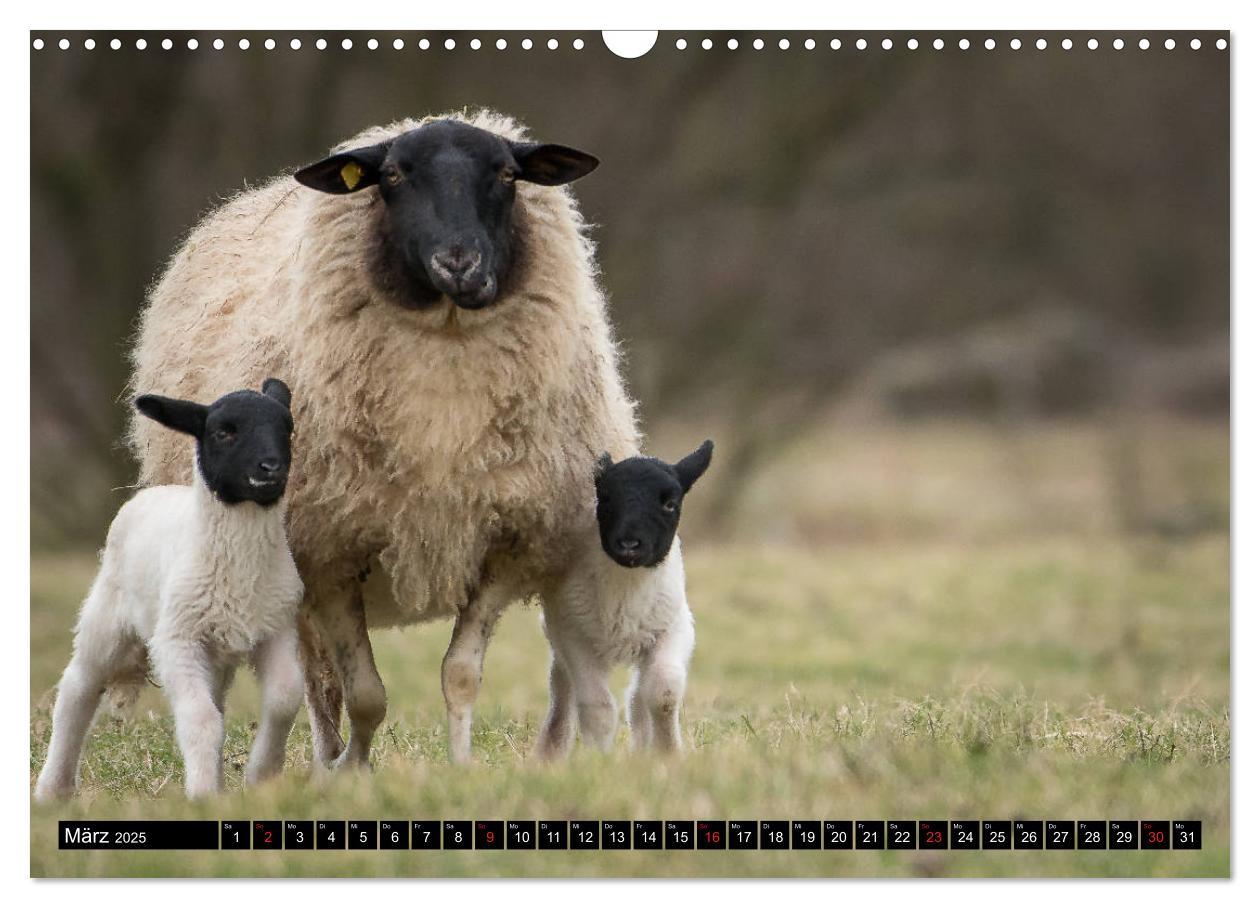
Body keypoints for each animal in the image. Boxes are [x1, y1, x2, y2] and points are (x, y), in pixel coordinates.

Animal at [35, 377, 302, 795]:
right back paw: (53, 790)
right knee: (77, 690)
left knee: (218, 703)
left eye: (286, 428)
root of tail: (154, 491)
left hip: (214, 656)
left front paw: (261, 775)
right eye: (224, 431)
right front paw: (203, 795)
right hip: (107, 619)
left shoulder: (276, 627)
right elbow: (200, 719)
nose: (271, 467)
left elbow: (285, 697)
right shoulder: (177, 639)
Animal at [129, 109, 640, 770]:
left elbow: (460, 675)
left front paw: (460, 767)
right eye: (393, 174)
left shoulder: (506, 543)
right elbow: (363, 694)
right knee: (318, 682)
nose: (458, 262)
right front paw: (353, 771)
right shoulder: (332, 553)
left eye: (507, 173)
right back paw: (325, 759)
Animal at [534, 438, 720, 755]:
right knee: (562, 686)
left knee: (639, 696)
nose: (629, 544)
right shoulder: (573, 635)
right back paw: (551, 750)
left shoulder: (676, 627)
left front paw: (668, 752)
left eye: (669, 503)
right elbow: (597, 706)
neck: (626, 593)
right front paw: (597, 758)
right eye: (605, 498)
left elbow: (663, 692)